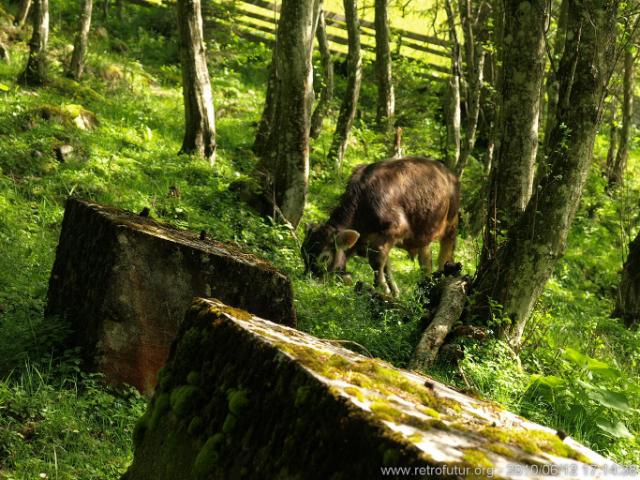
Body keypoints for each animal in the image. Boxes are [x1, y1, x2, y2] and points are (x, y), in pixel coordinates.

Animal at [302, 156, 458, 294]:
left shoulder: (391, 232)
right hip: (423, 232)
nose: (309, 281)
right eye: (303, 252)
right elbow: (385, 265)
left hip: (451, 222)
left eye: (325, 258)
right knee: (426, 260)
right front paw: (394, 291)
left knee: (446, 249)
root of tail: (448, 171)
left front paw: (382, 288)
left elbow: (377, 262)